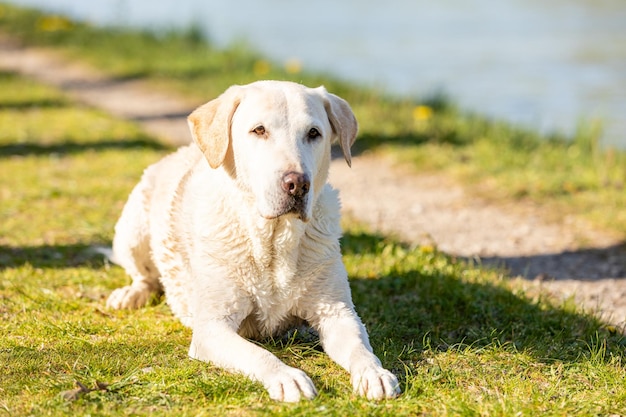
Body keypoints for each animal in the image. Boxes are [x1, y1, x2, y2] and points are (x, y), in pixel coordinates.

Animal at [106, 79, 400, 402]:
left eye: (314, 133)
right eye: (259, 130)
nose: (298, 184)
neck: (272, 239)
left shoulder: (338, 313)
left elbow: (361, 349)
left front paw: (374, 373)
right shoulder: (213, 327)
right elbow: (258, 354)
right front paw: (287, 377)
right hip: (132, 232)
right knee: (144, 275)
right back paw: (130, 294)